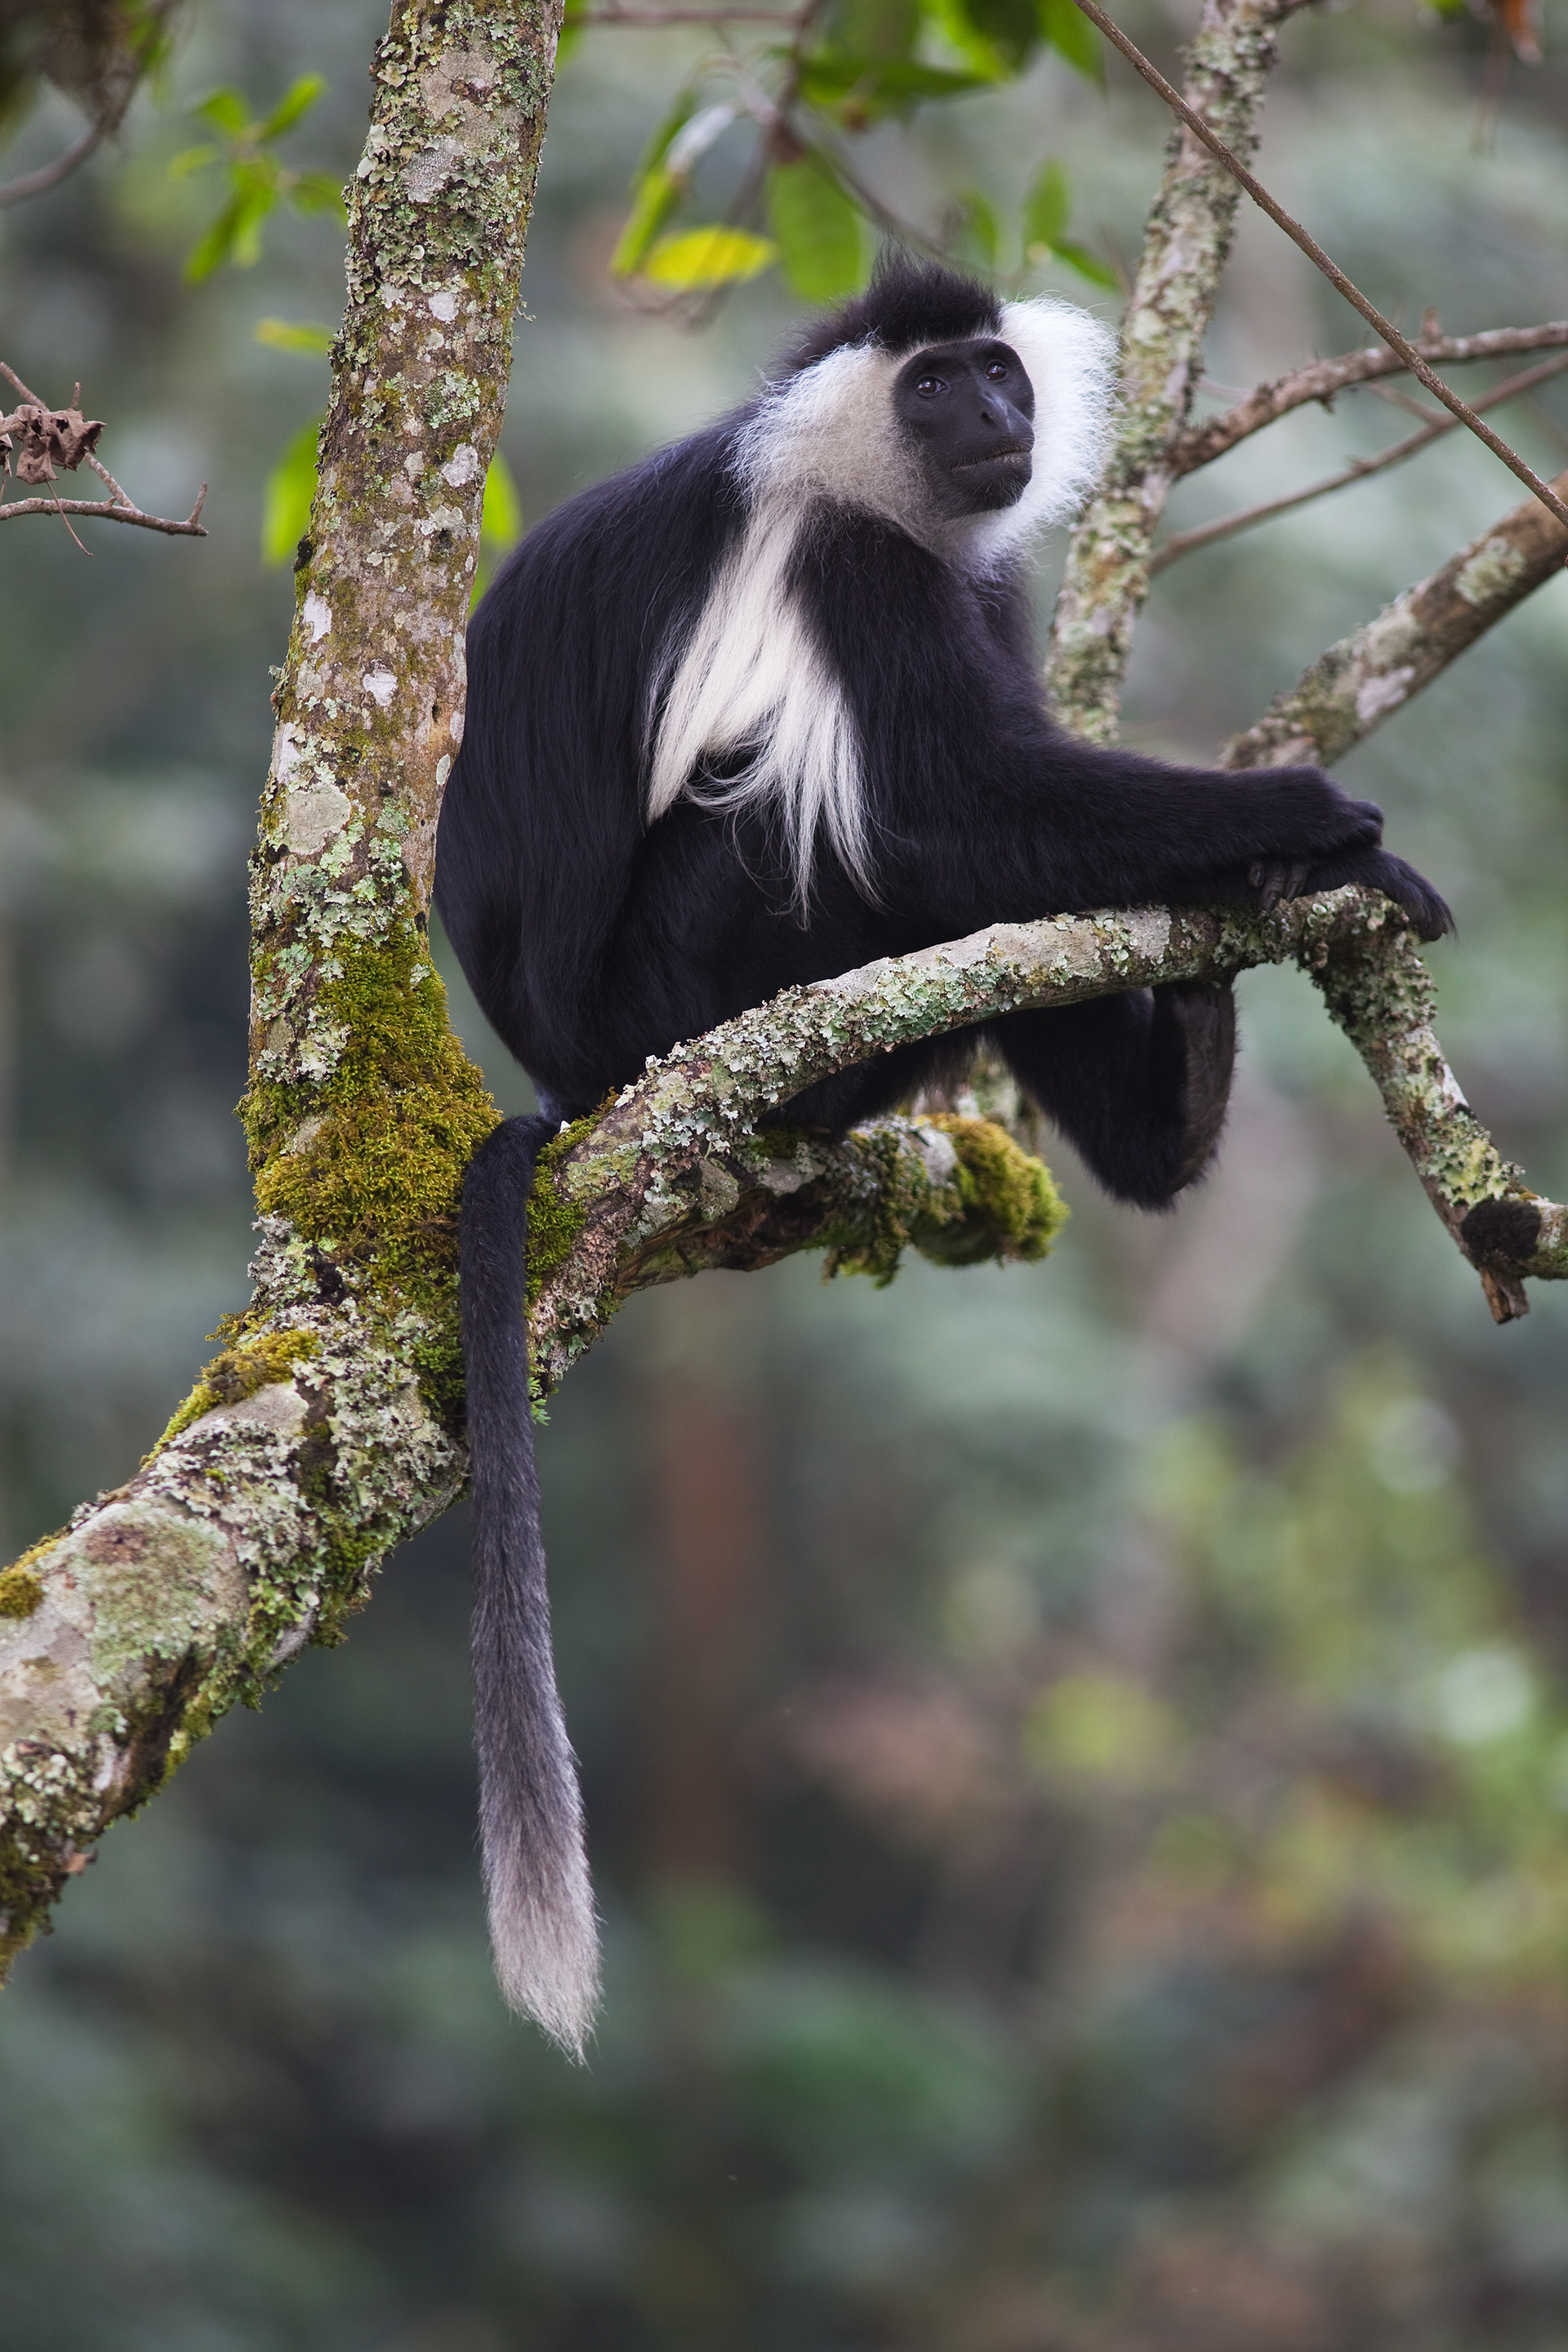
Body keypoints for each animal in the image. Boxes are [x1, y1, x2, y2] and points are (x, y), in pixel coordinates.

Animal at [433, 255, 1451, 2051]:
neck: (862, 484)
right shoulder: (845, 567)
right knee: (855, 824)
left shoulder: (973, 585)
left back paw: (1169, 1099)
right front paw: (1314, 827)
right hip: (690, 971)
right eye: (932, 388)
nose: (989, 413)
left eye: (994, 375)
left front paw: (1258, 893)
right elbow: (959, 799)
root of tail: (574, 1073)